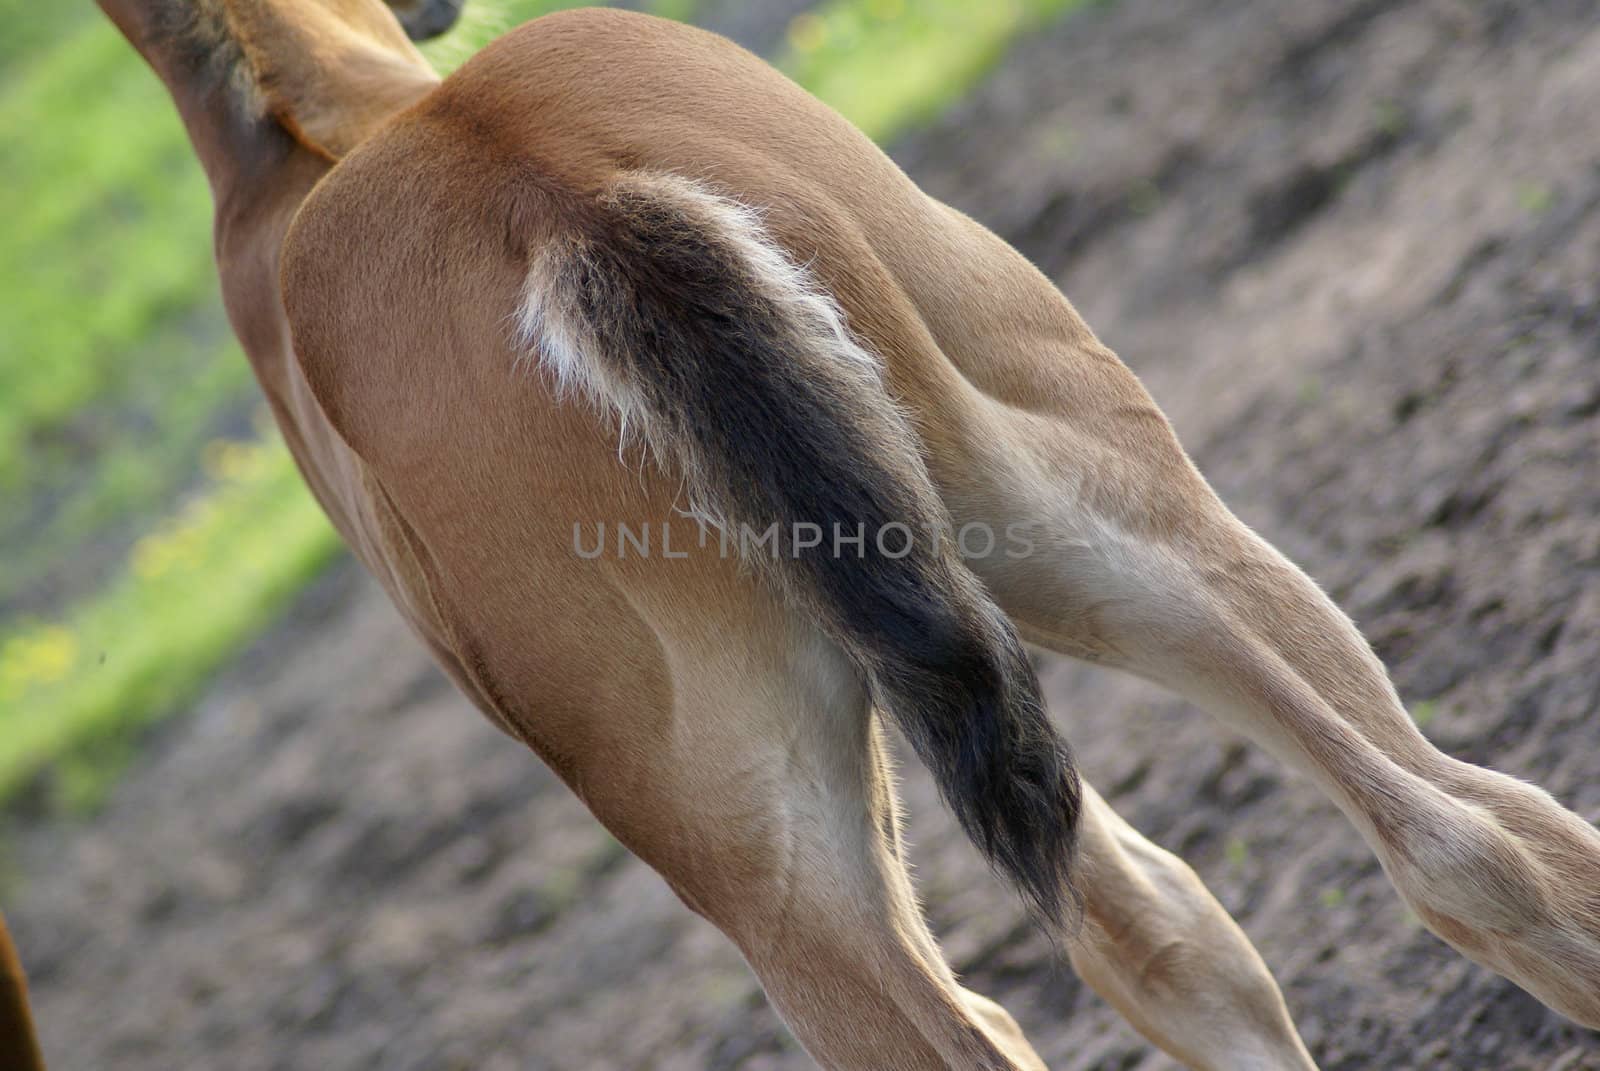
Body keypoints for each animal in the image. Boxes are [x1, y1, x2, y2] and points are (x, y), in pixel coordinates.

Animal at [65, 4, 1600, 1062]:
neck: (311, 121)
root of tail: (558, 210)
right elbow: (1167, 936)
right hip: (1093, 529)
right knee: (1475, 839)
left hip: (734, 839)